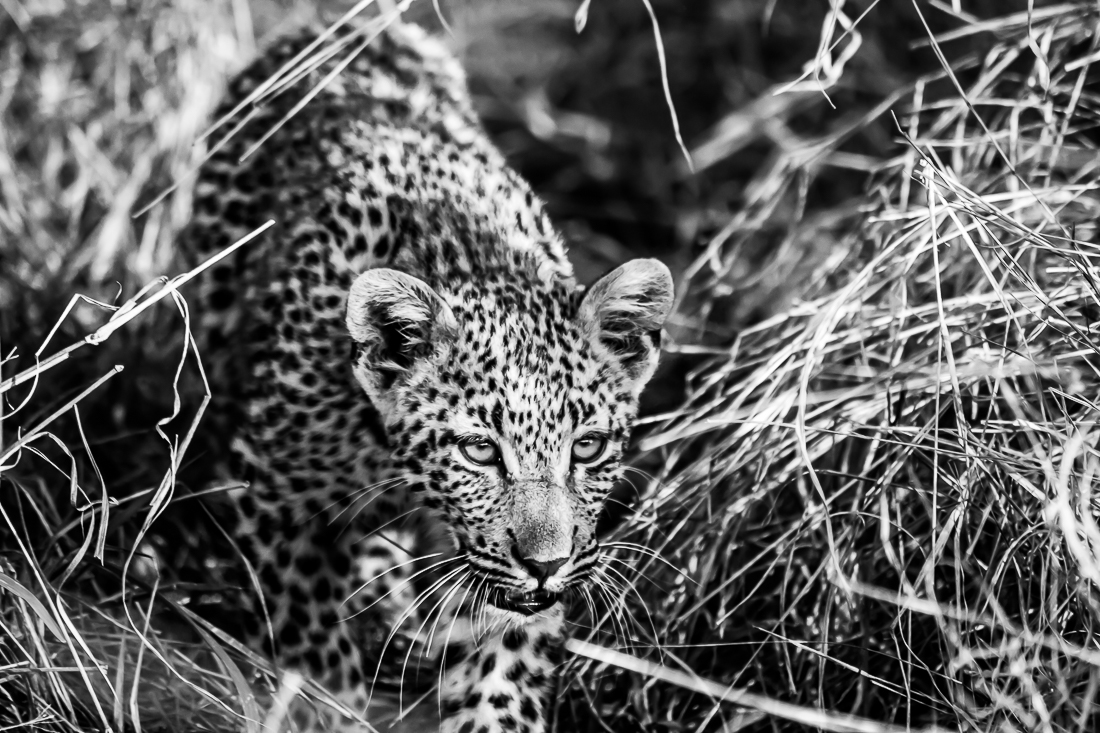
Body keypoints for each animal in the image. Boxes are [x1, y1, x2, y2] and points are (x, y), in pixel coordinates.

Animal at [181, 14, 673, 733]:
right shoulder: (279, 496)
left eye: (586, 447)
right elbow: (312, 642)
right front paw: (330, 706)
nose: (547, 566)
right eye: (479, 450)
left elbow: (501, 679)